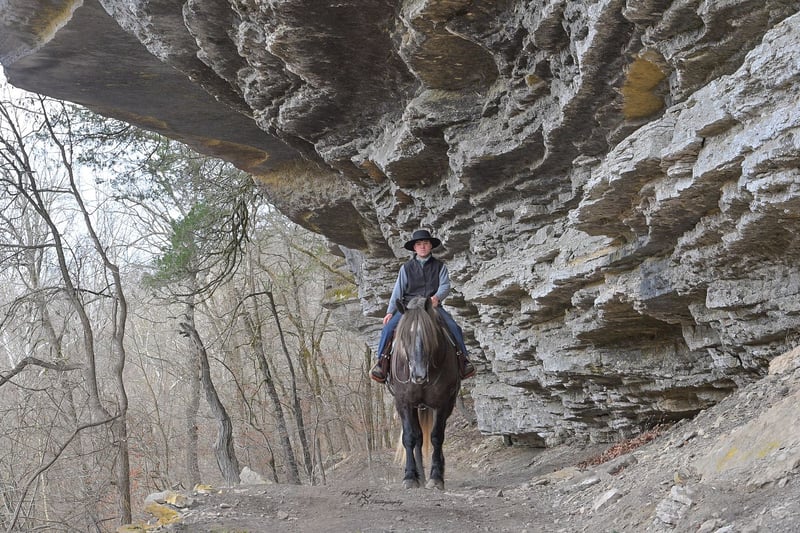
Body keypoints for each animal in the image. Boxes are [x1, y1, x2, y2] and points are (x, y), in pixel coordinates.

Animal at [388, 295, 460, 490]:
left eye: (429, 335)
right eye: (405, 336)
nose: (418, 375)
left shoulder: (442, 403)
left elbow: (437, 437)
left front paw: (436, 477)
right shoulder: (404, 403)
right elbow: (409, 437)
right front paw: (410, 477)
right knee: (418, 437)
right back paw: (419, 474)